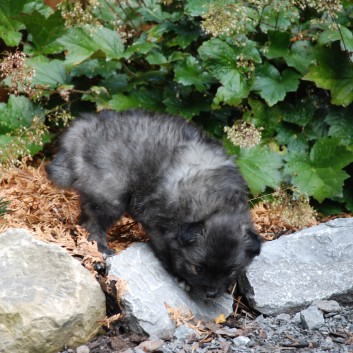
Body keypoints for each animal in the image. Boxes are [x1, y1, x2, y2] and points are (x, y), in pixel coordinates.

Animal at [46, 109, 260, 296]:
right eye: (198, 268)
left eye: (230, 271)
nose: (212, 294)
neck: (216, 202)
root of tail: (83, 128)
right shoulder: (157, 223)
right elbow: (166, 252)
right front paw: (180, 278)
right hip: (110, 194)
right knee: (93, 224)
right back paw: (101, 250)